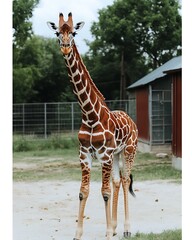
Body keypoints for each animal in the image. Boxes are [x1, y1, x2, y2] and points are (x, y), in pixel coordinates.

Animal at [47, 13, 138, 240]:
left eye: (74, 32)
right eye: (57, 32)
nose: (65, 47)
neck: (89, 114)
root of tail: (130, 119)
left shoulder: (104, 155)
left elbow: (104, 192)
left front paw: (107, 234)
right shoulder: (84, 154)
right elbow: (84, 191)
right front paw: (78, 234)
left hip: (129, 151)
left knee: (124, 180)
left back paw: (126, 229)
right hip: (116, 155)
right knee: (116, 181)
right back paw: (115, 226)